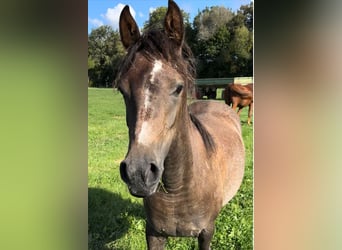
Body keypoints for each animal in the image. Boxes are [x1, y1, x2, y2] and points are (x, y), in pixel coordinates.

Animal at [116, 0, 244, 249]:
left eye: (178, 87)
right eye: (122, 89)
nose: (138, 172)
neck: (178, 190)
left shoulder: (207, 232)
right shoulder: (154, 233)